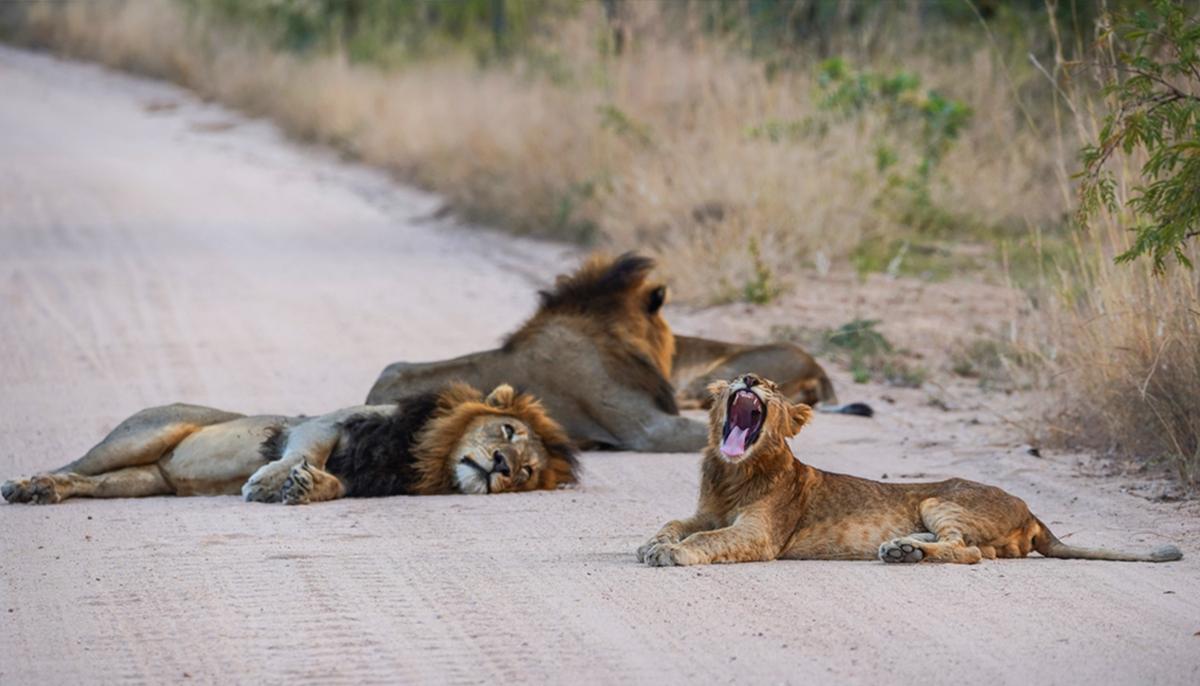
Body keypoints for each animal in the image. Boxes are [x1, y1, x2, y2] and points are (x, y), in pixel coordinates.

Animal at [637, 373, 1182, 566]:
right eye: (737, 379)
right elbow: (677, 522)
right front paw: (653, 543)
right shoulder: (706, 510)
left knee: (968, 551)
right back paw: (903, 548)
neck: (733, 473)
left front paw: (673, 554)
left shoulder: (759, 535)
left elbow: (711, 539)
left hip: (938, 497)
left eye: (770, 386)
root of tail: (1033, 512)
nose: (748, 378)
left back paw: (904, 551)